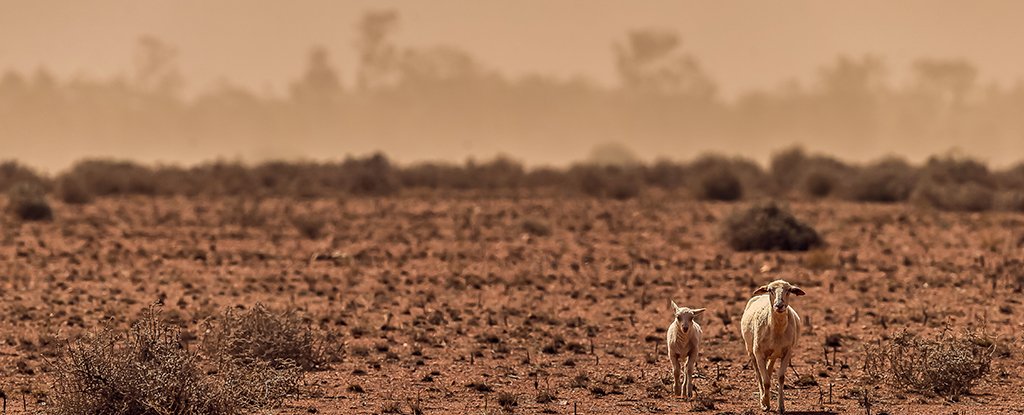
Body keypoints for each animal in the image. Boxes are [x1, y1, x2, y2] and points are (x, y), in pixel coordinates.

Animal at [741, 280, 802, 411]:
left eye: (789, 290)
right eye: (770, 290)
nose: (779, 305)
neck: (777, 330)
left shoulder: (787, 352)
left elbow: (781, 377)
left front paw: (781, 406)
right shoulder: (758, 353)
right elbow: (766, 381)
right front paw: (765, 403)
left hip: (773, 354)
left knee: (768, 371)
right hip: (751, 351)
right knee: (758, 375)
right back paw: (762, 398)